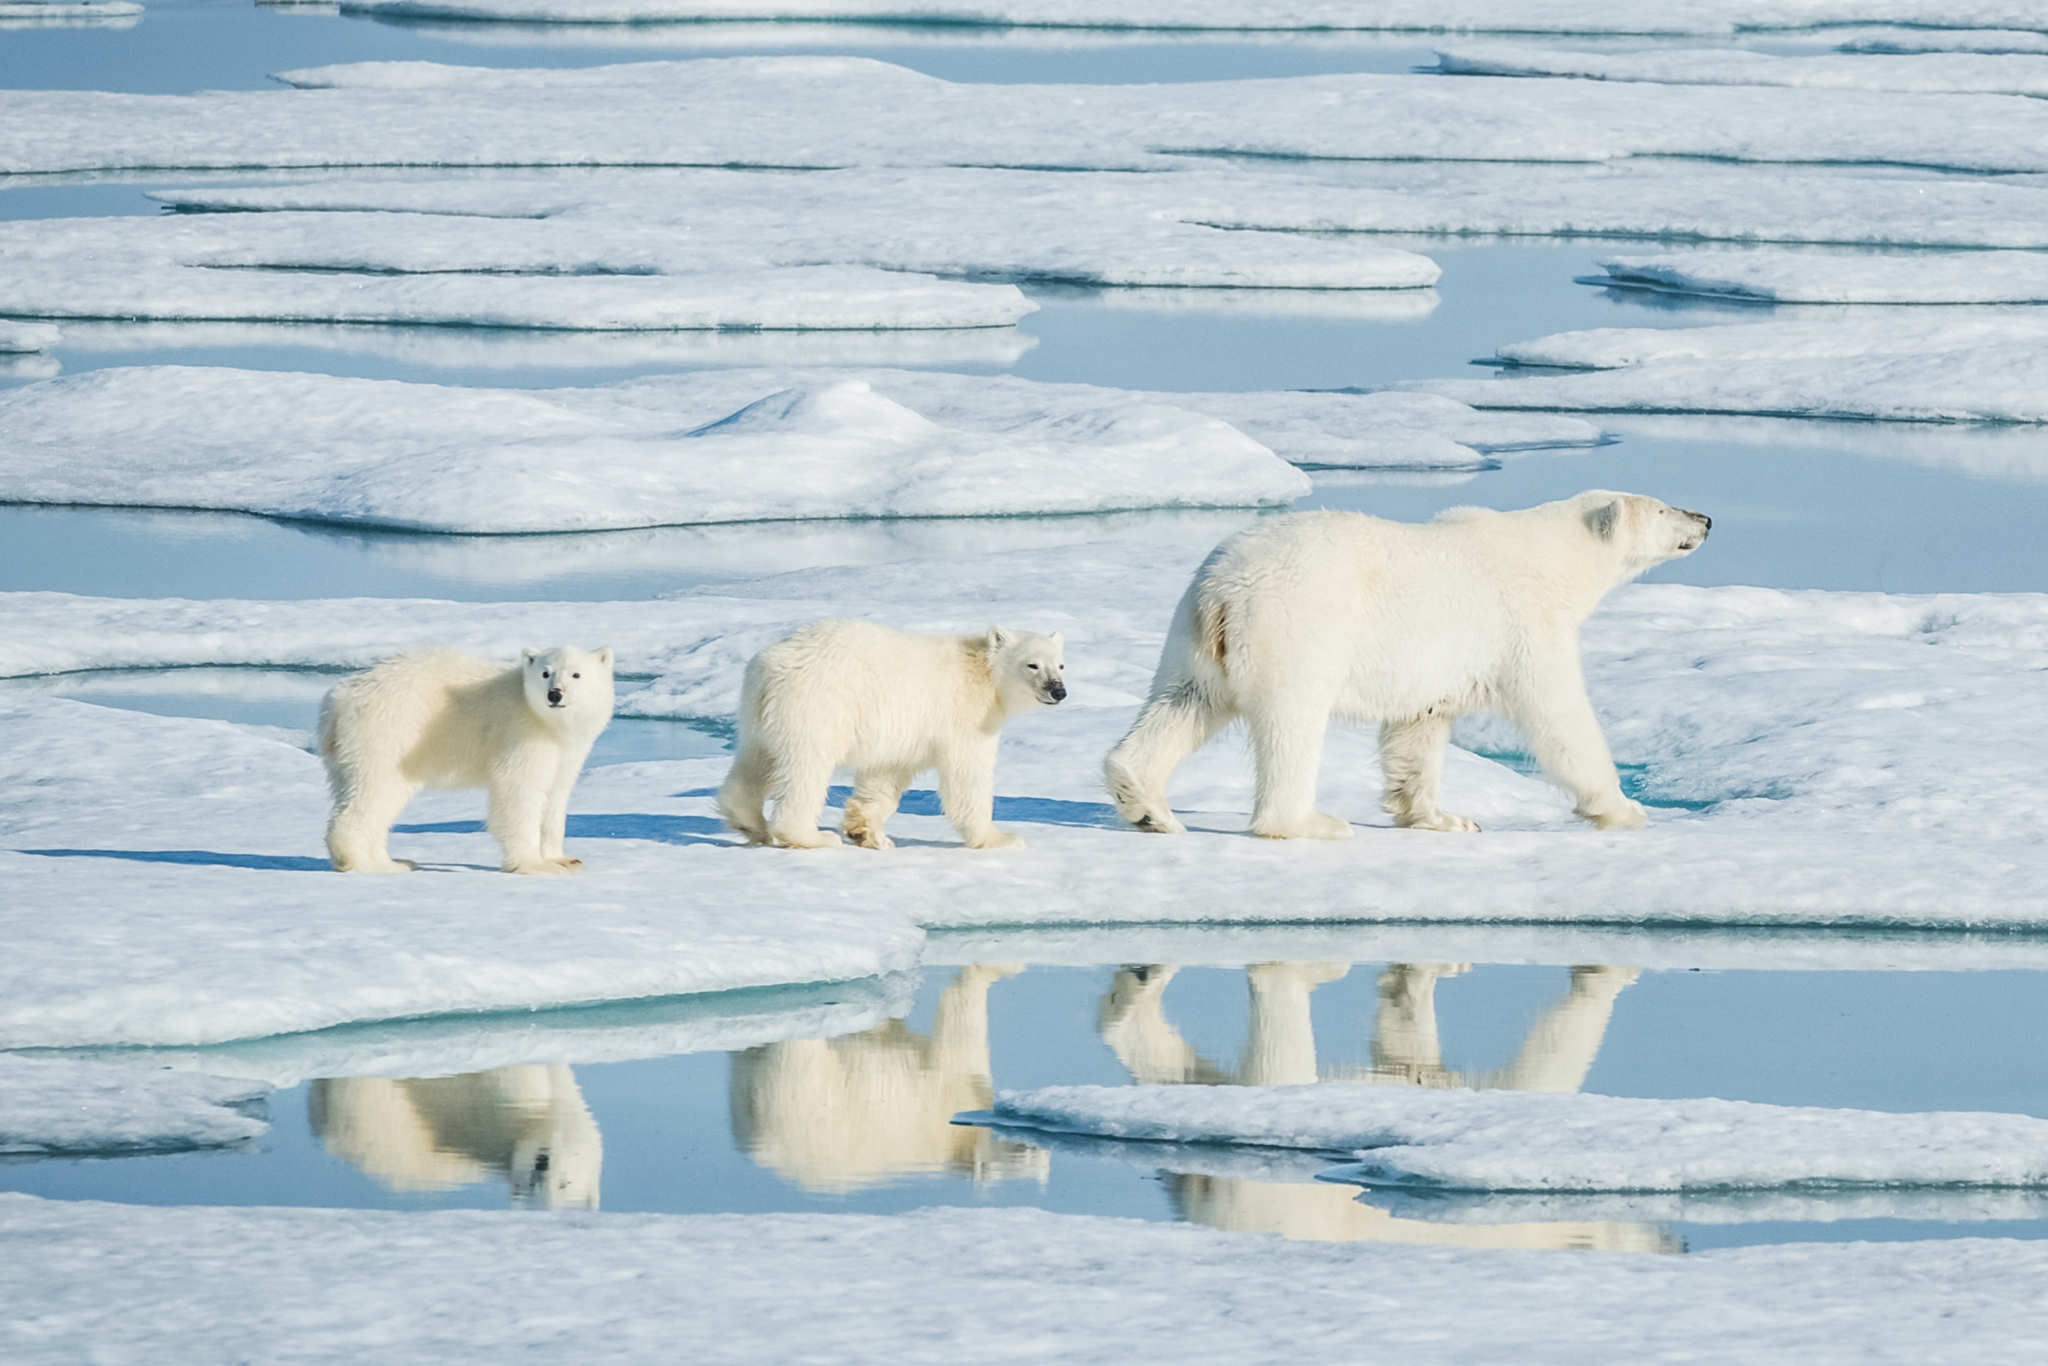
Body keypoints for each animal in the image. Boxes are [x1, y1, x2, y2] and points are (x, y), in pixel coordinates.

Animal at [319, 645, 615, 874]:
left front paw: (565, 859)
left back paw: (394, 861)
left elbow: (555, 795)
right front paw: (534, 865)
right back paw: (366, 863)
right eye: (545, 672)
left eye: (576, 674)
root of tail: (338, 701)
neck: (547, 722)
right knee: (374, 792)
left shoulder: (567, 750)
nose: (555, 694)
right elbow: (519, 793)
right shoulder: (521, 733)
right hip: (390, 734)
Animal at [717, 619, 1065, 851]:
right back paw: (811, 836)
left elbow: (884, 776)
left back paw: (751, 823)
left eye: (1061, 665)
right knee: (806, 769)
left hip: (758, 713)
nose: (1058, 691)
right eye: (1032, 665)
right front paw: (1002, 838)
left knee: (754, 762)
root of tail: (772, 666)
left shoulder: (901, 734)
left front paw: (869, 833)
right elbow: (967, 777)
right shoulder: (966, 717)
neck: (982, 672)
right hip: (819, 707)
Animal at [1103, 490, 1710, 840]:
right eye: (1662, 507)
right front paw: (1624, 808)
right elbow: (1559, 715)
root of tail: (1222, 590)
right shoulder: (1525, 624)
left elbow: (1418, 729)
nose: (1705, 518)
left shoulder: (1436, 667)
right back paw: (1310, 823)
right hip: (1296, 624)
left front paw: (1444, 818)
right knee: (1292, 722)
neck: (1553, 558)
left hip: (1192, 638)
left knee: (1182, 704)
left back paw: (1149, 808)